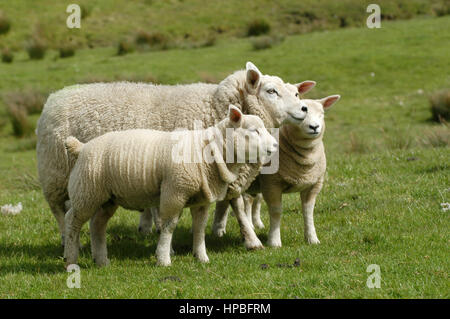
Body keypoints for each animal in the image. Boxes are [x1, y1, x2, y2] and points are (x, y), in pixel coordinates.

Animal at [36, 60, 316, 250]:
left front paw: (250, 239)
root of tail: (55, 97)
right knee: (59, 210)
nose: (304, 108)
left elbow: (235, 203)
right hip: (55, 172)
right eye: (271, 91)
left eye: (296, 92)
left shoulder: (227, 171)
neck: (215, 109)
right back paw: (68, 242)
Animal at [63, 105, 278, 268]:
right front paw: (163, 259)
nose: (276, 145)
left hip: (107, 197)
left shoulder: (201, 200)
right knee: (72, 220)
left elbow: (199, 227)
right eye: (254, 130)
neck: (206, 151)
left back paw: (102, 261)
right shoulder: (174, 192)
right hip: (85, 191)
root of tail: (82, 147)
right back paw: (70, 259)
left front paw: (201, 257)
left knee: (97, 224)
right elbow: (169, 226)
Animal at [212, 94, 342, 246]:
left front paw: (312, 238)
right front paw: (274, 241)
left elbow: (308, 211)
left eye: (321, 114)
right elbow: (276, 211)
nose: (314, 127)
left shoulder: (314, 184)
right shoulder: (271, 183)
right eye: (302, 115)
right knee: (242, 201)